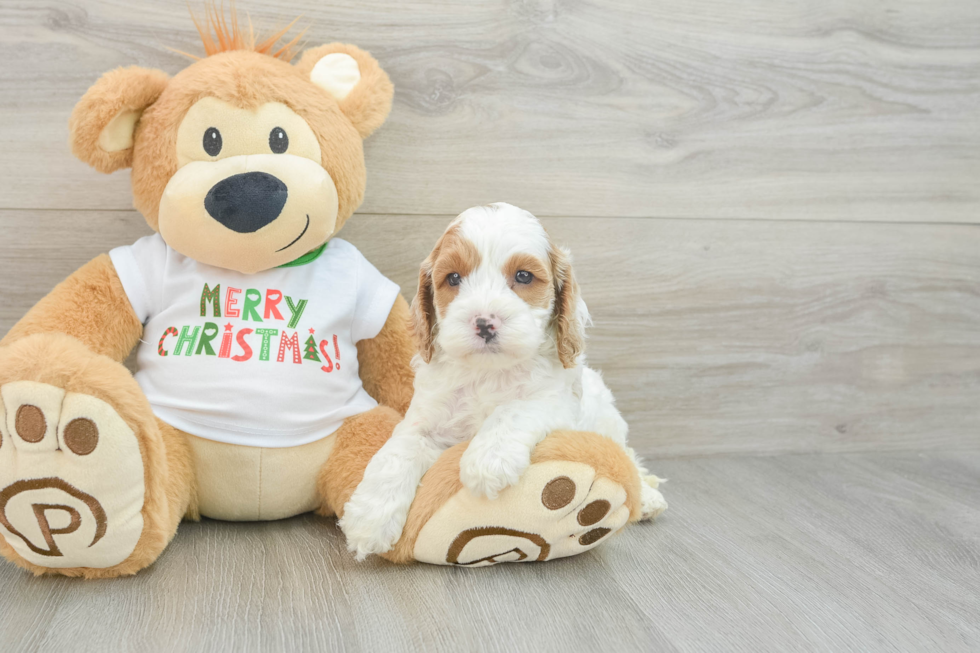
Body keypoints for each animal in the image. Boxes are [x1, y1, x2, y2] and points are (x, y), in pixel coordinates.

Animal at [338, 201, 668, 556]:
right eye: (453, 278)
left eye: (523, 276)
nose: (485, 322)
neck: (488, 371)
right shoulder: (424, 418)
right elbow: (397, 451)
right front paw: (368, 519)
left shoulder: (556, 400)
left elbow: (513, 409)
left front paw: (488, 461)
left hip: (607, 420)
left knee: (628, 457)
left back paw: (648, 498)